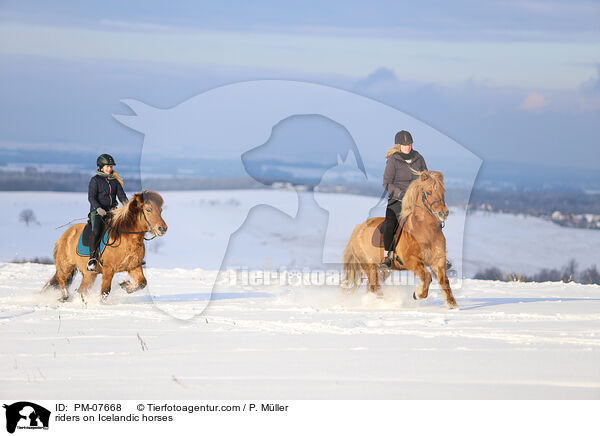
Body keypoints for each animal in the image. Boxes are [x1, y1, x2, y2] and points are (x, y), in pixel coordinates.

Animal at [342, 170, 460, 310]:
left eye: (443, 191)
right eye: (429, 192)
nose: (444, 213)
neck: (424, 231)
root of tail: (358, 229)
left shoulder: (438, 259)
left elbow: (444, 281)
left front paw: (452, 305)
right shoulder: (411, 260)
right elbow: (427, 276)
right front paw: (417, 294)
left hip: (383, 270)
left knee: (372, 286)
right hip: (369, 265)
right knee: (374, 286)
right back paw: (383, 304)